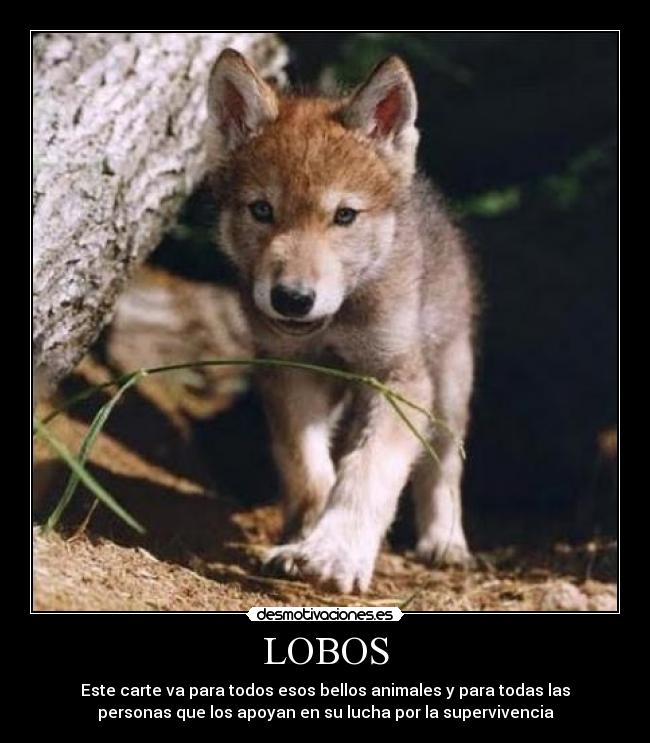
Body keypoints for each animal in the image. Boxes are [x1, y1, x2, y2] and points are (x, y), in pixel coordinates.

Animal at [206, 49, 479, 593]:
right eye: (262, 210)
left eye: (345, 216)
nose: (292, 299)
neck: (340, 322)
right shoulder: (291, 374)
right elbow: (310, 470)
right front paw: (303, 540)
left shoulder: (400, 380)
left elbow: (366, 472)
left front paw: (335, 555)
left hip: (449, 384)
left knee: (443, 463)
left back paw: (444, 542)